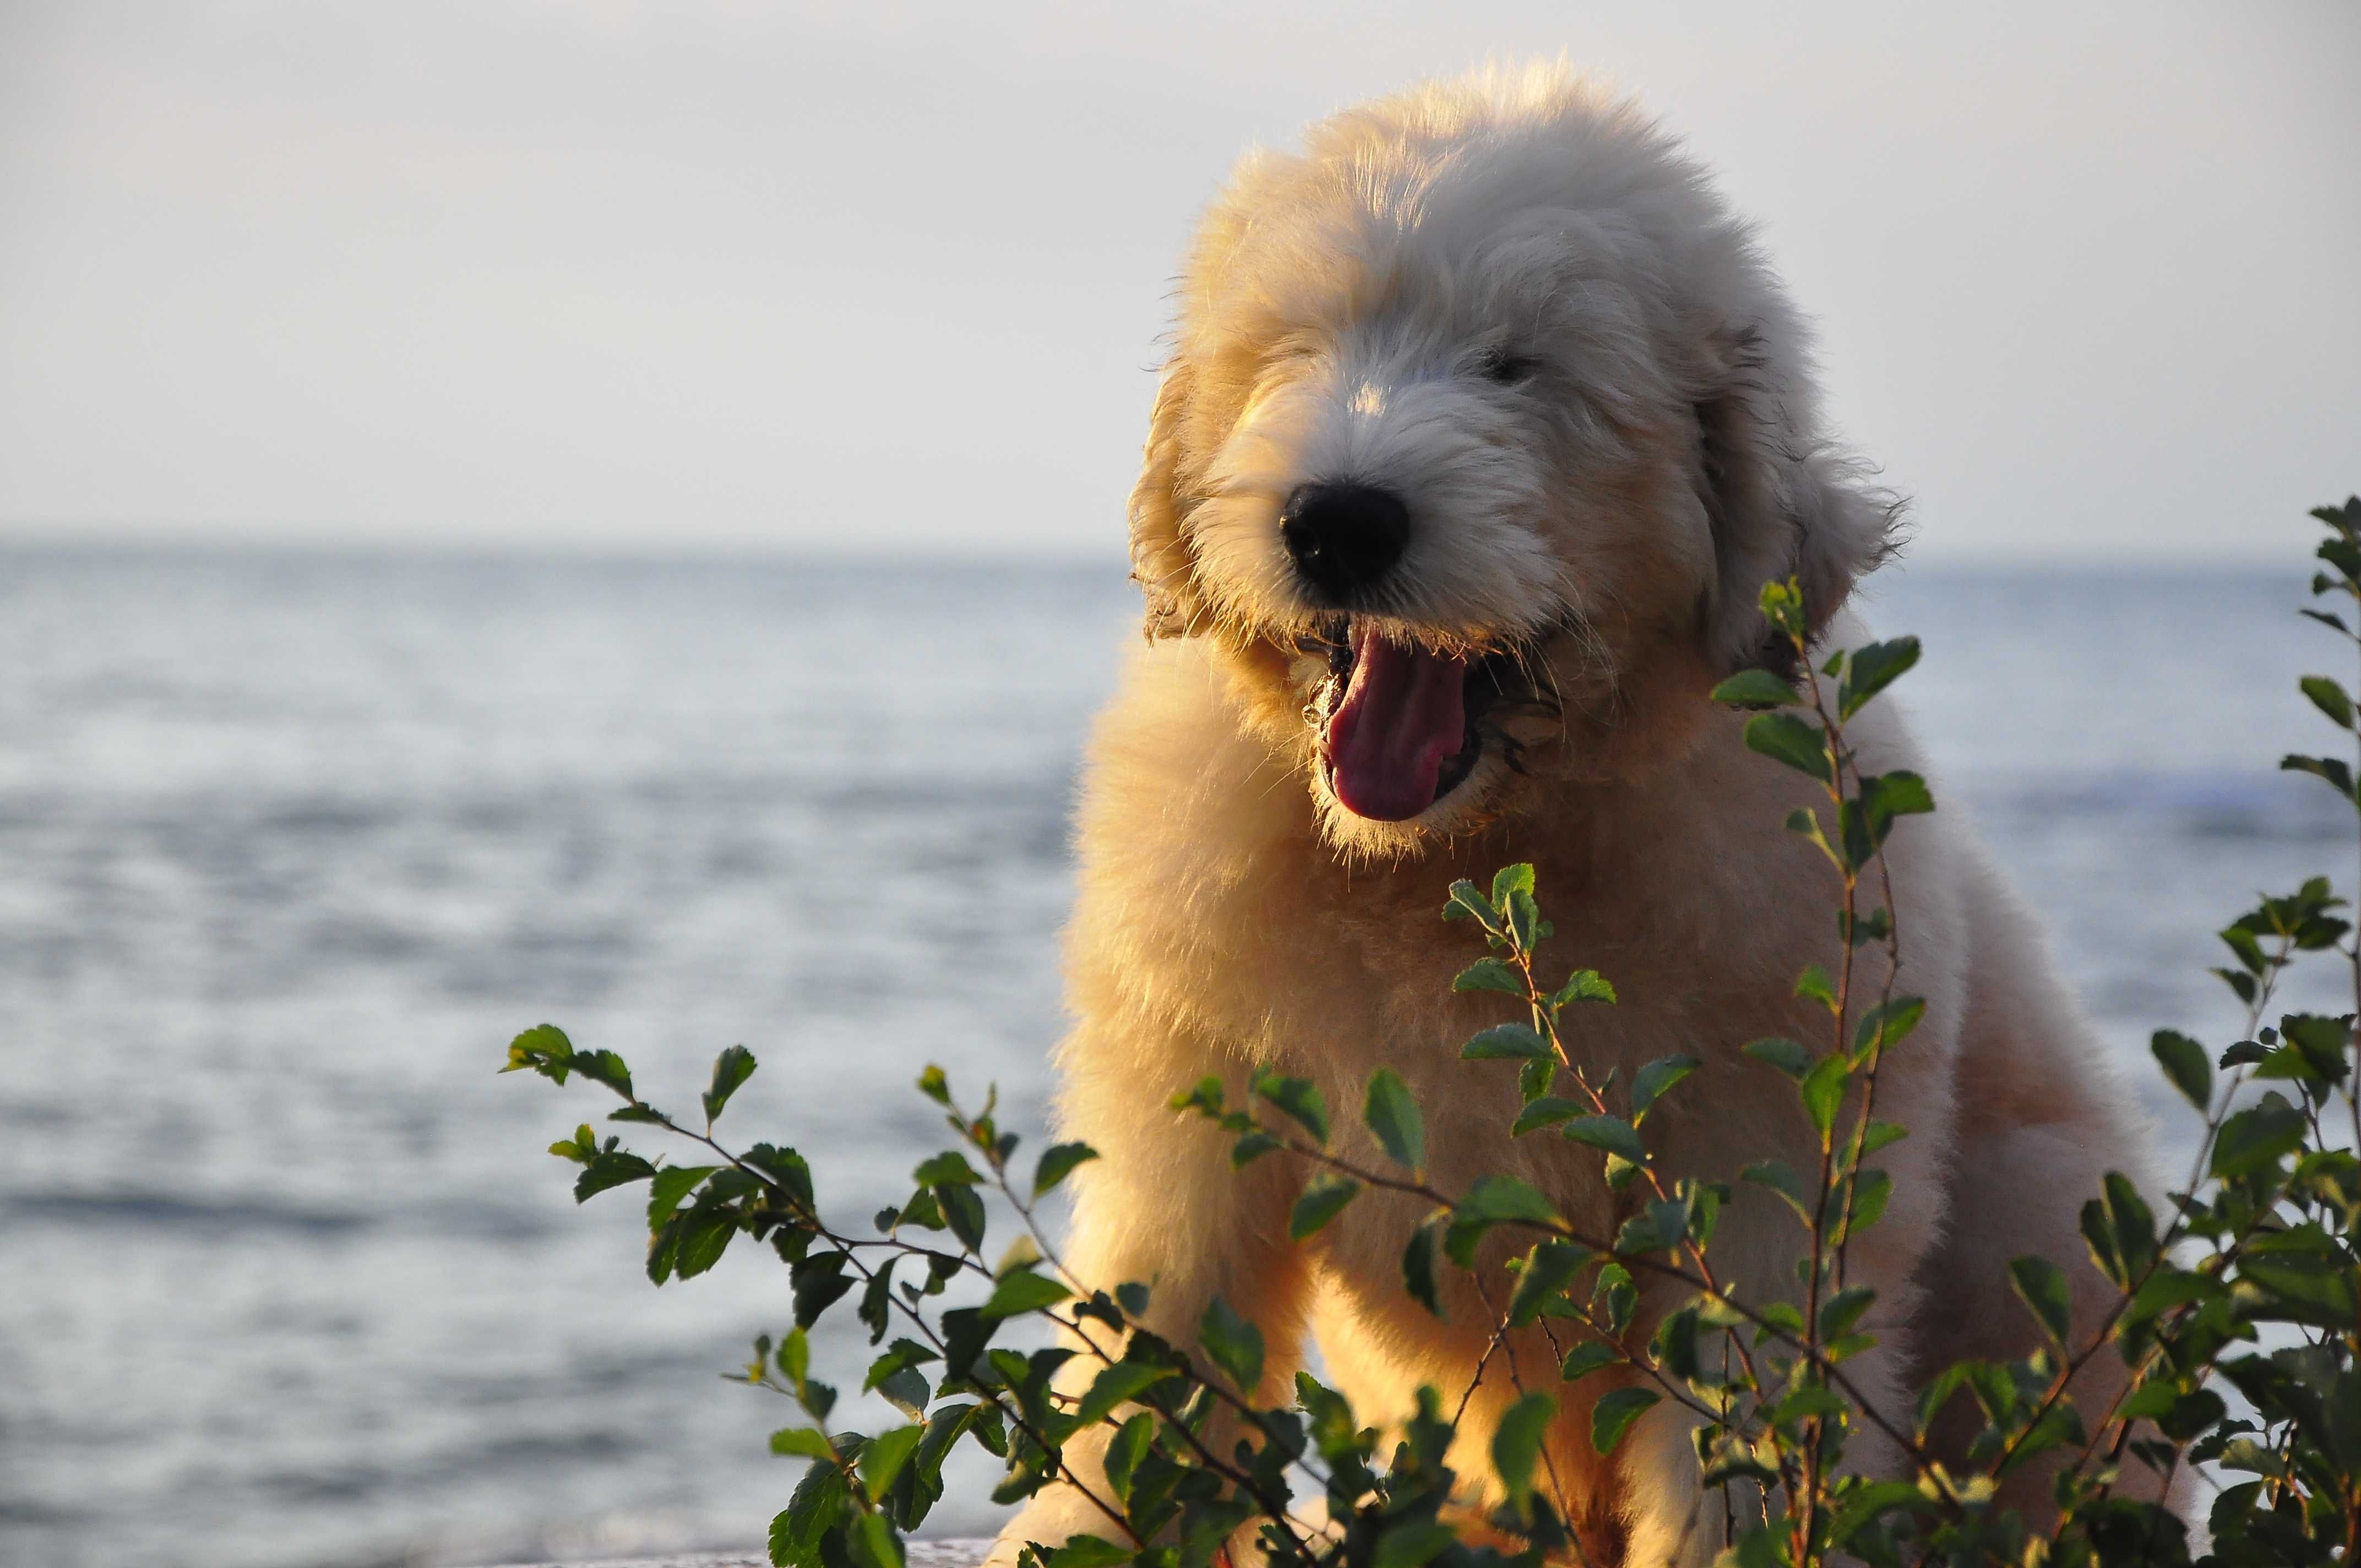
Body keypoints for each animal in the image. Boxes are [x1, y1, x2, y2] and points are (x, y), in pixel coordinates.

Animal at [996, 67, 2162, 1558]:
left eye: (1517, 368)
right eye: (1294, 350)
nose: (1336, 521)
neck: (1453, 868)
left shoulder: (1762, 1177)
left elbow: (1734, 1452)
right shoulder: (1189, 1122)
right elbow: (1142, 1387)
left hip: (2050, 1232)